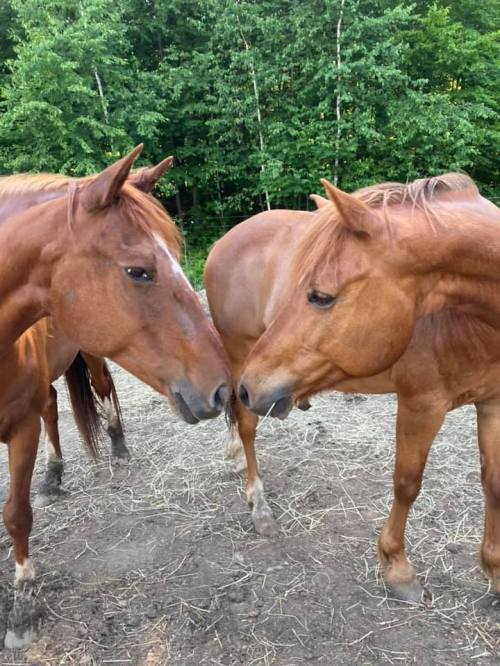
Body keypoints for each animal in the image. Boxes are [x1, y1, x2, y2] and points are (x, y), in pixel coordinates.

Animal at [205, 173, 500, 602]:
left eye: (320, 296)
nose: (251, 386)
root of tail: (224, 242)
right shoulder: (421, 405)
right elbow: (407, 483)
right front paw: (397, 566)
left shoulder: (493, 402)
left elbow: (493, 483)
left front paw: (494, 569)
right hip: (241, 357)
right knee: (246, 426)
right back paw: (259, 507)